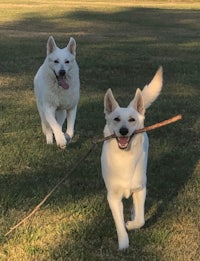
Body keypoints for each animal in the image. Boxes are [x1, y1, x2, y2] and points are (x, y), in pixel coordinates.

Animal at [101, 66, 162, 248]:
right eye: (116, 119)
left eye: (132, 120)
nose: (123, 131)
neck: (125, 158)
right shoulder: (113, 197)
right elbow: (119, 223)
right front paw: (123, 243)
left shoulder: (140, 189)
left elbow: (141, 219)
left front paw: (131, 224)